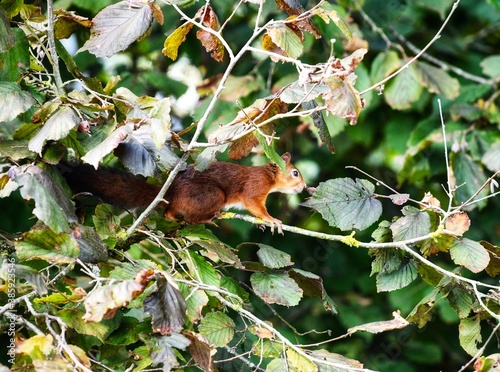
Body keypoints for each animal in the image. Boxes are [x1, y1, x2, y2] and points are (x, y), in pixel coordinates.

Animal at [65, 151, 308, 232]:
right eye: (295, 173)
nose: (304, 187)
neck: (269, 177)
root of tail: (170, 193)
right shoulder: (254, 187)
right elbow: (255, 206)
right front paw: (272, 220)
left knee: (169, 212)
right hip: (212, 195)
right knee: (189, 217)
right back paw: (206, 218)